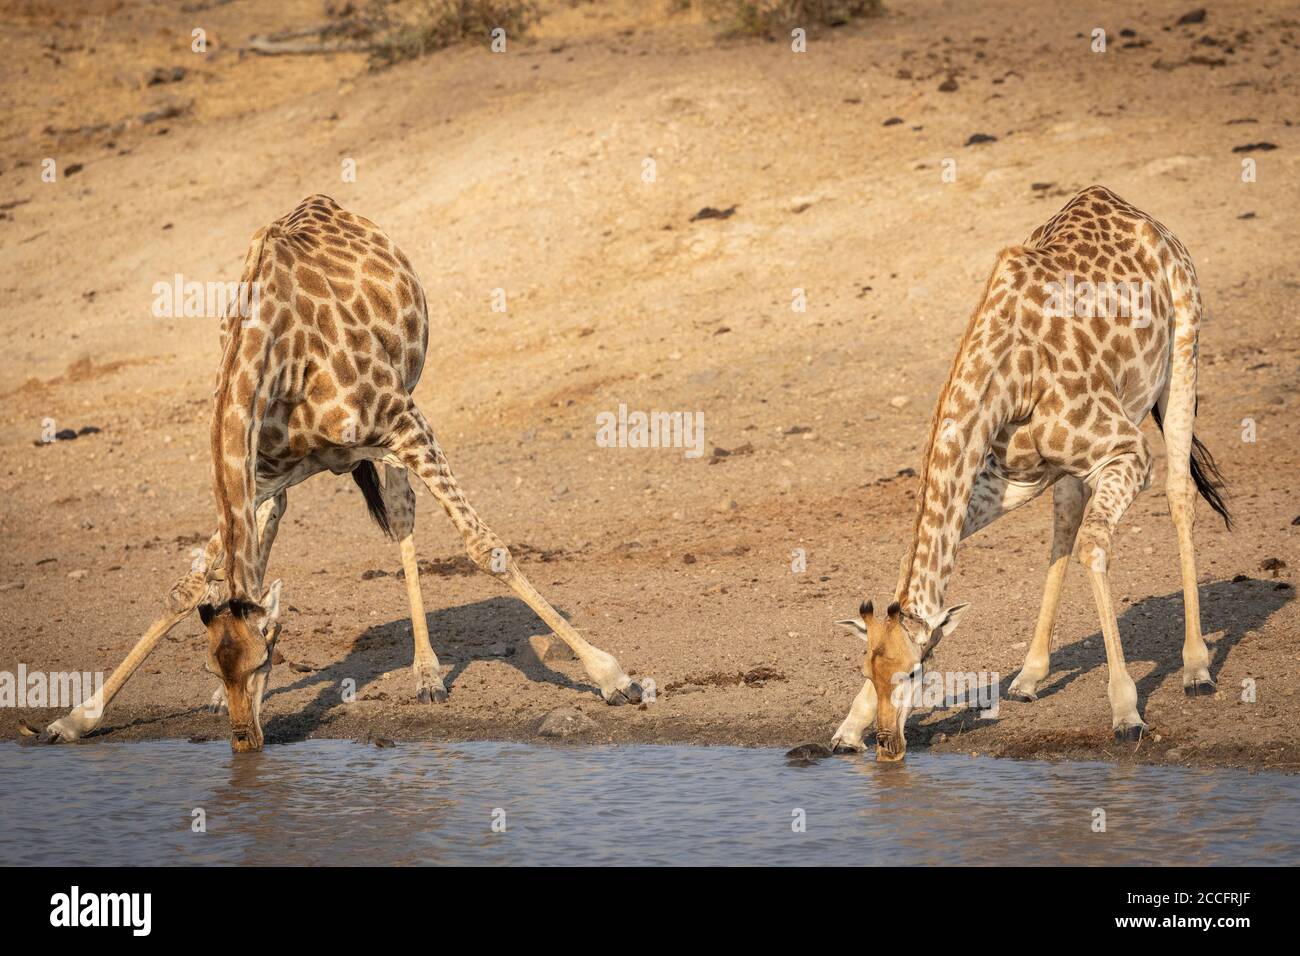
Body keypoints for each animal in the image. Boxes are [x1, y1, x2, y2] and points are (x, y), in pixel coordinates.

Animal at [43, 195, 642, 749]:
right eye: (211, 664)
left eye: (264, 661)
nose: (246, 743)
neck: (277, 354)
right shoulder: (263, 473)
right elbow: (185, 588)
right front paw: (74, 718)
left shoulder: (405, 422)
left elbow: (484, 547)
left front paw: (613, 677)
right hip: (293, 473)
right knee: (273, 533)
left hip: (403, 410)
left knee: (403, 518)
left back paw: (428, 675)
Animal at [832, 183, 1227, 759]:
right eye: (868, 671)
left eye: (914, 673)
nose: (888, 747)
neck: (1010, 374)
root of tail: (1138, 213)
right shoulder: (1011, 476)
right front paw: (846, 729)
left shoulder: (1128, 452)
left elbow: (1094, 547)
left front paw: (1127, 712)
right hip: (1063, 467)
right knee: (1066, 520)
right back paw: (1028, 677)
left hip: (1183, 354)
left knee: (1179, 493)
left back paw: (1197, 668)